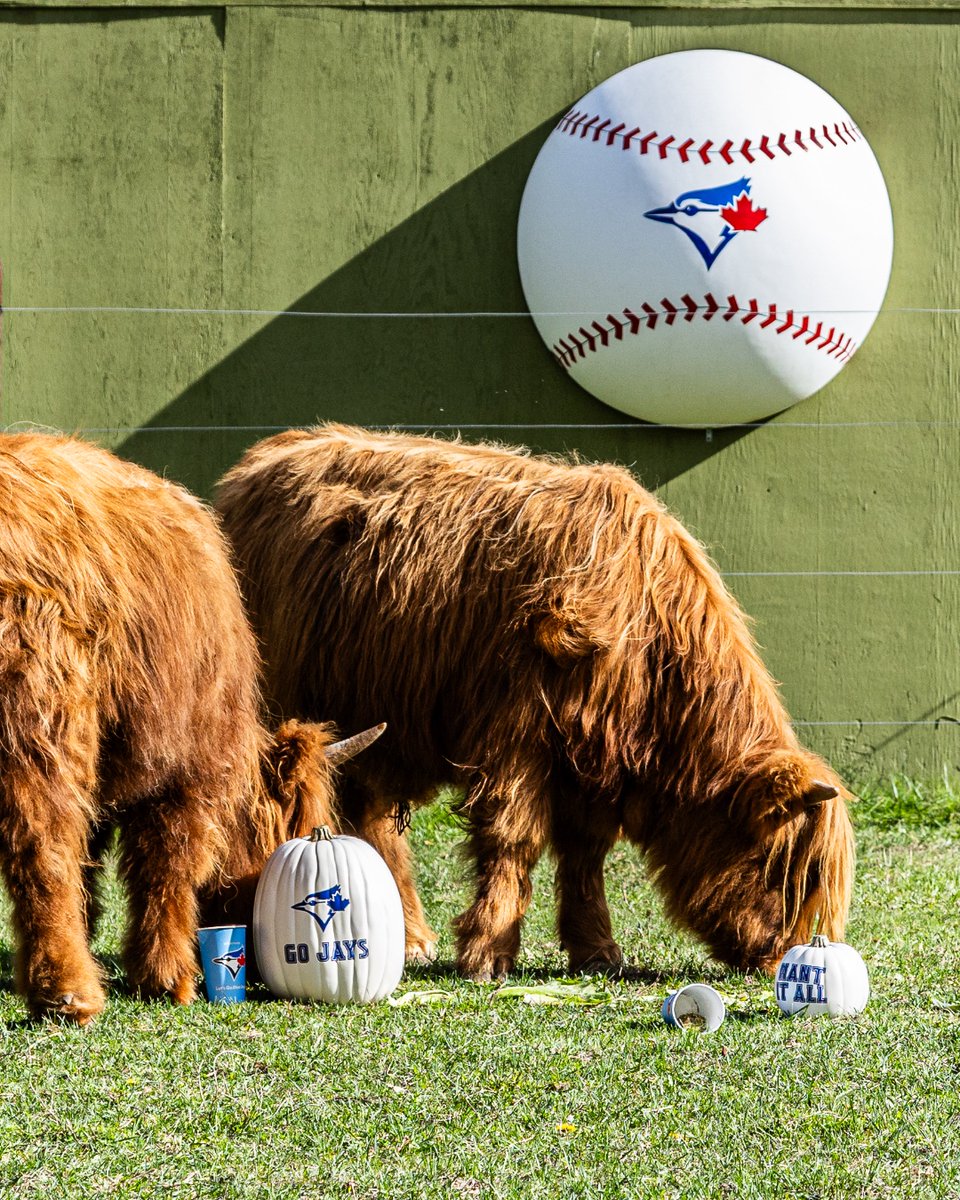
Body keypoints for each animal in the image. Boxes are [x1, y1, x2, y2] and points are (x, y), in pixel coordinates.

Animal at [0, 431, 378, 1024]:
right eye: (288, 838)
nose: (260, 962)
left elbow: (93, 870)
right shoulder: (185, 764)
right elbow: (168, 868)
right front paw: (169, 977)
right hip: (40, 728)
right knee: (44, 846)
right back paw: (69, 995)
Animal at [216, 424, 854, 982]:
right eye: (776, 867)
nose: (778, 961)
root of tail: (262, 458)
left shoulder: (593, 764)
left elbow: (585, 855)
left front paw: (596, 950)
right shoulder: (515, 736)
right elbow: (513, 838)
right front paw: (488, 953)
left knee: (369, 814)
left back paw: (412, 935)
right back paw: (417, 939)